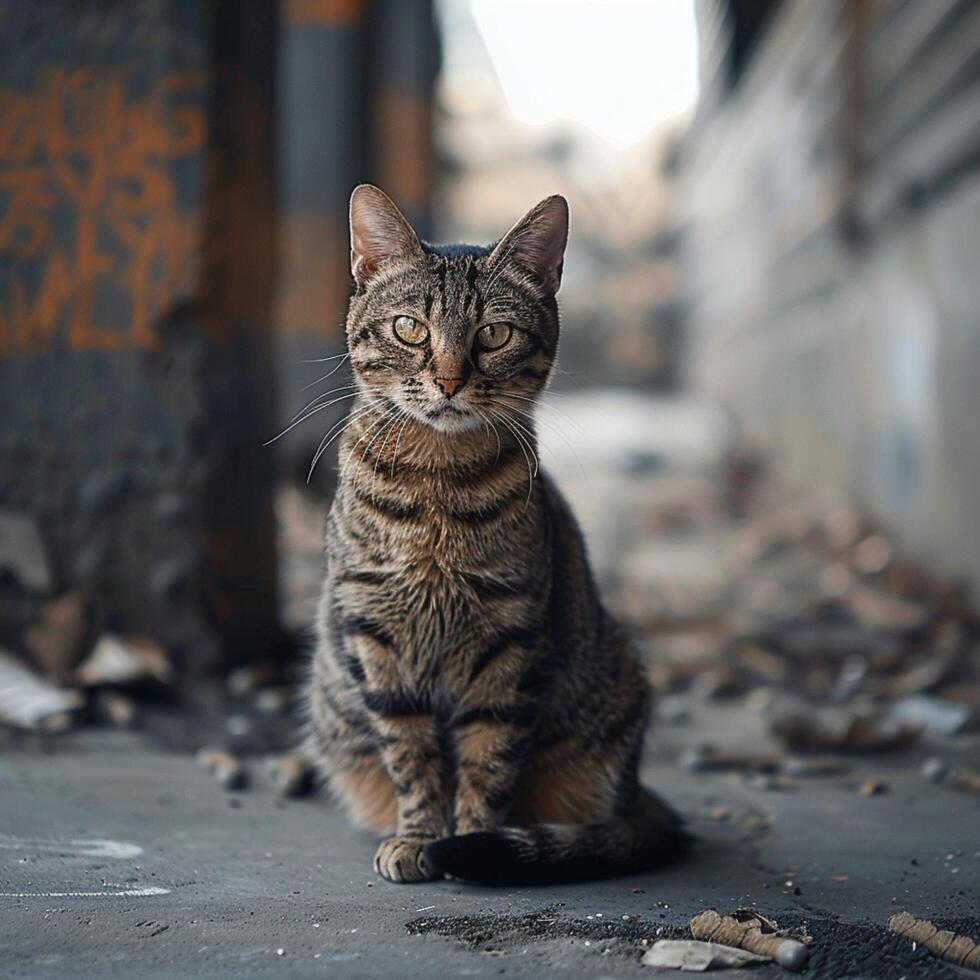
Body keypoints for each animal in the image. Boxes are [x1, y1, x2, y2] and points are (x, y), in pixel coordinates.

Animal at [308, 182, 688, 880]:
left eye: (493, 334)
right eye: (410, 327)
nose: (449, 380)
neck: (436, 480)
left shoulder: (510, 640)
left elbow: (488, 760)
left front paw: (468, 839)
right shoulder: (376, 638)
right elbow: (412, 755)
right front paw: (419, 835)